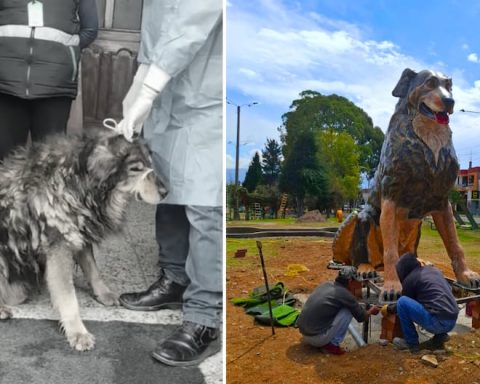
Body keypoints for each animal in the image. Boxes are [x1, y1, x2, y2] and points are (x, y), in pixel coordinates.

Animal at [0, 130, 167, 352]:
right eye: (135, 169)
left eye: (150, 164)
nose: (166, 192)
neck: (77, 181)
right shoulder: (59, 246)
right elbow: (68, 296)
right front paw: (77, 332)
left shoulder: (80, 235)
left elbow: (93, 270)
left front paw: (103, 293)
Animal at [332, 70, 480, 304]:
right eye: (429, 83)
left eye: (449, 86)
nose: (450, 101)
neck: (428, 139)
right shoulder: (390, 198)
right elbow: (391, 252)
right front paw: (392, 286)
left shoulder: (442, 203)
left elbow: (455, 244)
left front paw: (465, 275)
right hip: (361, 218)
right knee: (364, 255)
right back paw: (366, 268)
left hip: (416, 227)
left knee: (407, 254)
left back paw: (420, 262)